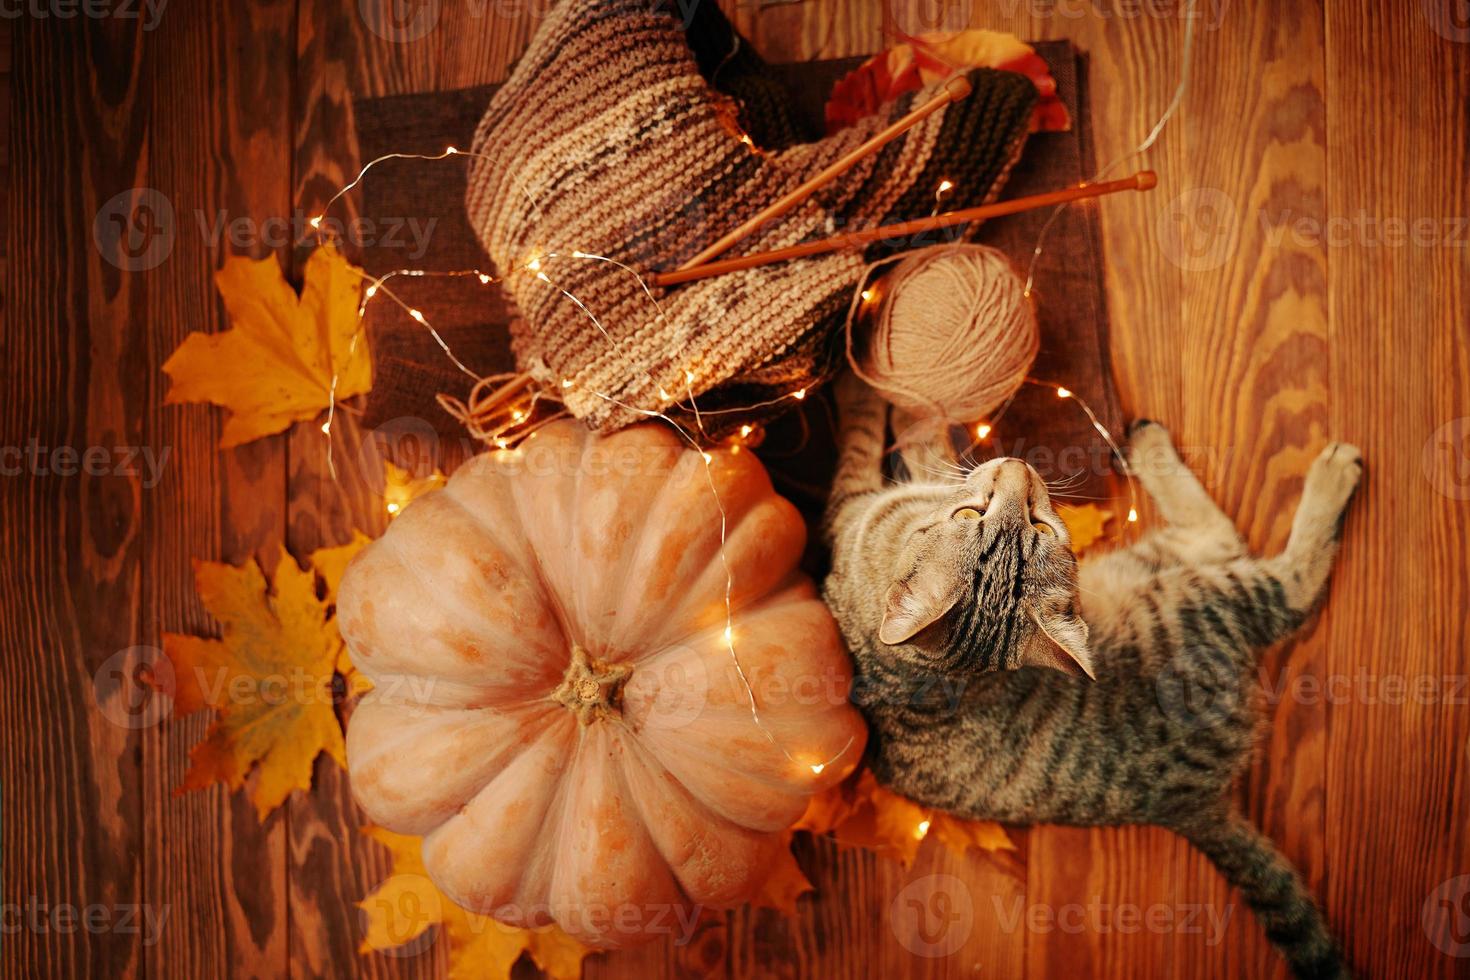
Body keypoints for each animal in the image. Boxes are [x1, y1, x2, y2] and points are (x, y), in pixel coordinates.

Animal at [823, 371, 1358, 975]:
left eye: (1036, 523)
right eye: (970, 516)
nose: (1018, 467)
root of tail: (1191, 805)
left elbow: (895, 443)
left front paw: (891, 404)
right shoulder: (856, 506)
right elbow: (871, 442)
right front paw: (877, 401)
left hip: (1169, 583)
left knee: (1258, 563)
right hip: (1181, 589)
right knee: (1261, 567)